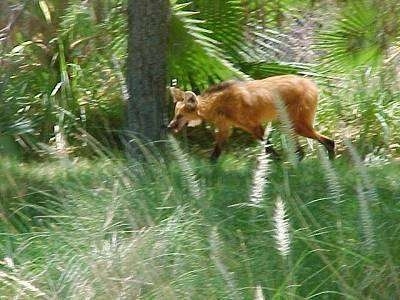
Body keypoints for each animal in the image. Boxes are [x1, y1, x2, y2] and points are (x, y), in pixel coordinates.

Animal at [168, 74, 334, 162]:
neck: (217, 104)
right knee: (302, 151)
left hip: (297, 124)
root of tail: (310, 82)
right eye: (175, 114)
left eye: (179, 116)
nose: (169, 126)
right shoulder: (225, 127)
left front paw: (277, 166)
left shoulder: (254, 126)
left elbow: (268, 148)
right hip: (287, 124)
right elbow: (215, 153)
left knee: (329, 142)